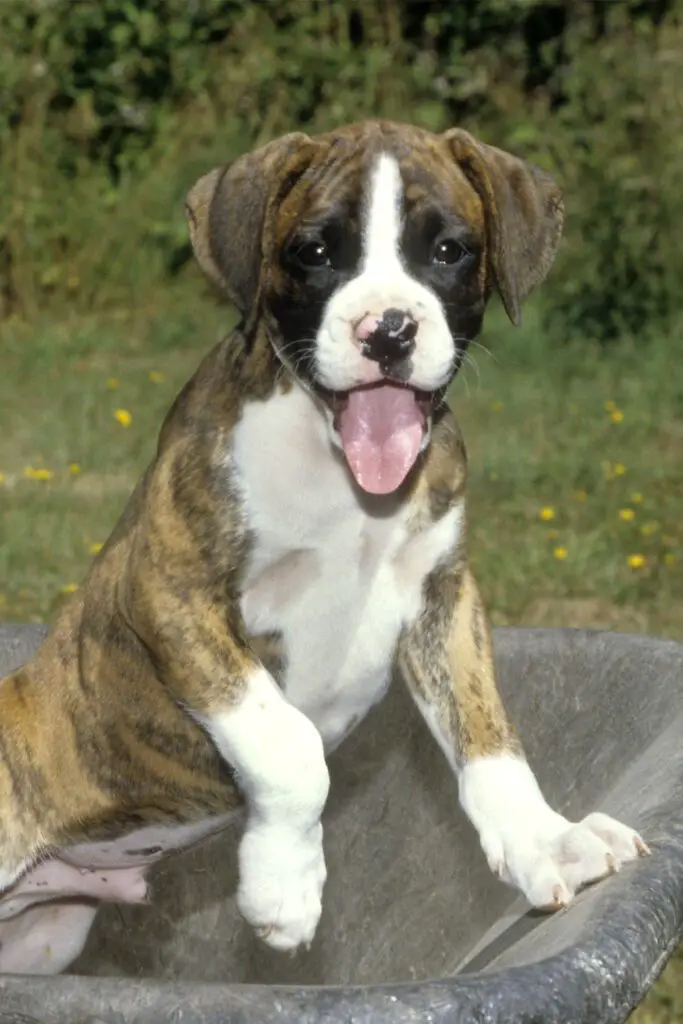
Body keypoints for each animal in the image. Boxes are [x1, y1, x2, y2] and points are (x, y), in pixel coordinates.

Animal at [0, 119, 647, 966]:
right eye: (312, 251)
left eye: (448, 250)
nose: (390, 330)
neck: (339, 469)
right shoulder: (173, 593)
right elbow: (290, 745)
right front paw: (284, 889)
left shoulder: (442, 597)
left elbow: (486, 735)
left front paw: (546, 841)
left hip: (41, 937)